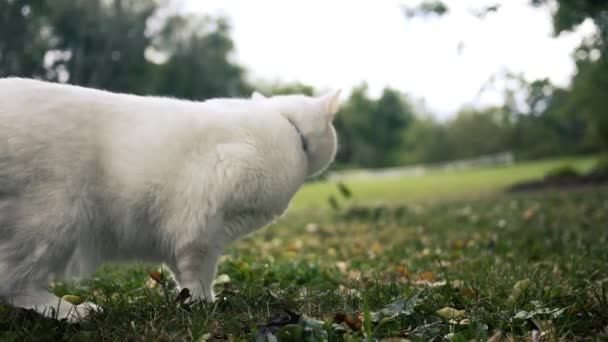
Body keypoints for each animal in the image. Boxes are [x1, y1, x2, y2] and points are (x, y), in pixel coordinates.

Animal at [0, 78, 342, 320]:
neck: (286, 124)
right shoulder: (202, 228)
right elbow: (200, 274)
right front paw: (204, 306)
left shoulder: (186, 233)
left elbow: (184, 276)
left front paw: (189, 302)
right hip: (54, 220)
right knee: (14, 282)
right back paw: (70, 311)